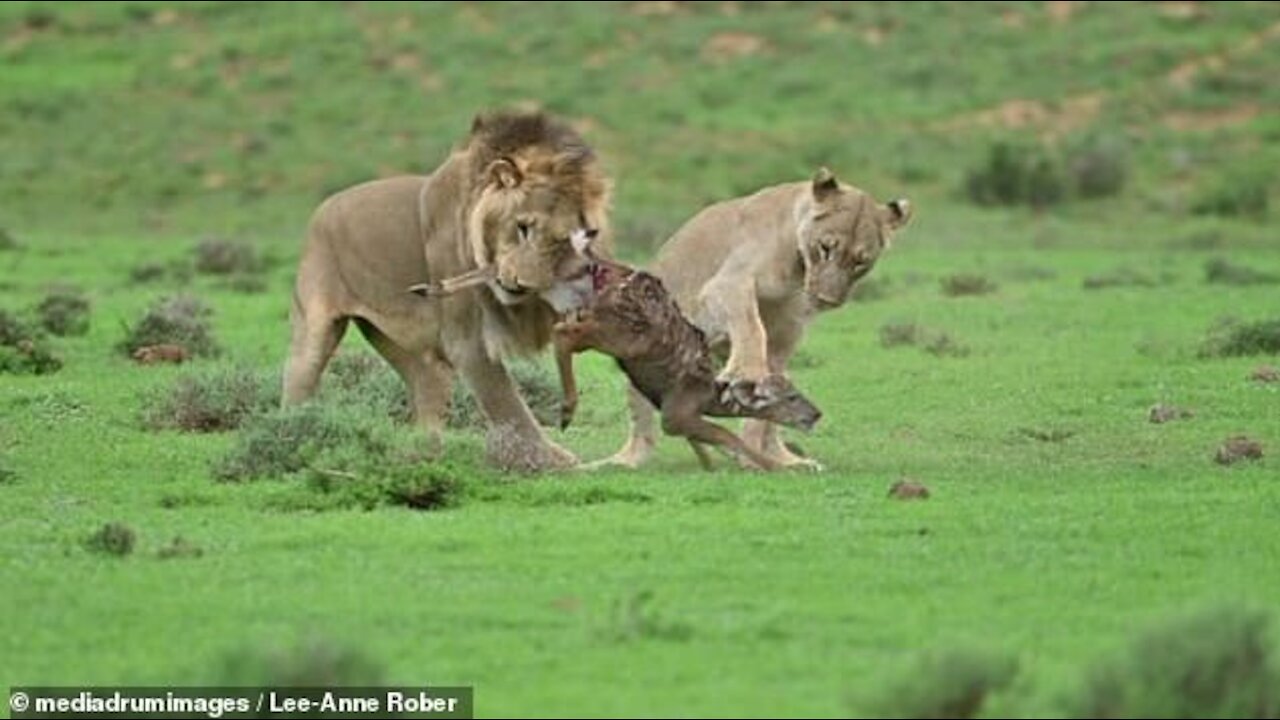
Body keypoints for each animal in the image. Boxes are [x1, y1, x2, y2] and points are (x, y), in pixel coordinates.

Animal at [284, 110, 609, 471]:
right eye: (522, 227)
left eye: (564, 239)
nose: (519, 282)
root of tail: (323, 207)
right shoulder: (466, 340)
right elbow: (505, 399)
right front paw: (549, 459)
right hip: (314, 327)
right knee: (299, 378)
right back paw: (291, 434)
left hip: (409, 350)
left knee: (425, 388)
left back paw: (424, 454)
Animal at [601, 169, 911, 471]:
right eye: (825, 247)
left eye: (860, 262)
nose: (826, 300)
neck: (797, 268)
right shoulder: (728, 282)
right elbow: (751, 326)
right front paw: (746, 371)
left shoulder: (786, 334)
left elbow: (763, 409)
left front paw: (755, 454)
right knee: (642, 429)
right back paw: (623, 461)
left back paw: (785, 460)